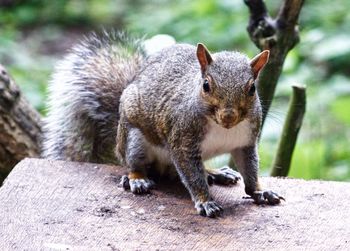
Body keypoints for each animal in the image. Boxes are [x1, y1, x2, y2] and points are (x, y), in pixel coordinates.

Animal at [43, 30, 284, 217]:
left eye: (252, 88)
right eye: (206, 85)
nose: (228, 116)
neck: (223, 129)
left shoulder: (245, 143)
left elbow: (250, 171)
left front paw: (260, 192)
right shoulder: (182, 140)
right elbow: (193, 177)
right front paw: (205, 201)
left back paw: (215, 173)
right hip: (134, 140)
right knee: (134, 164)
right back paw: (138, 179)